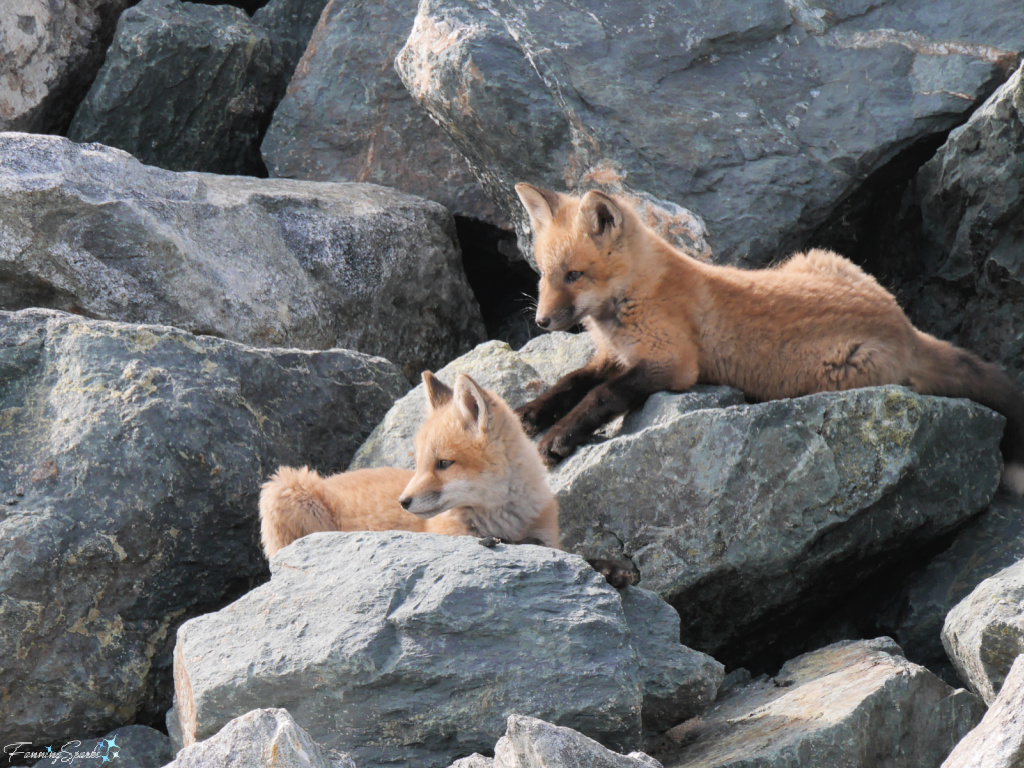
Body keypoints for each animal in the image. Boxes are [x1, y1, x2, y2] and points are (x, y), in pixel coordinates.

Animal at [259, 371, 633, 585]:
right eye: (420, 463)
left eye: (443, 463)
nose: (403, 502)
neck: (503, 520)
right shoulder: (456, 540)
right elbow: (550, 553)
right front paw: (605, 567)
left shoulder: (545, 535)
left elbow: (561, 552)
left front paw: (611, 567)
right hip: (283, 490)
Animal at [512, 182, 1024, 494]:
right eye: (543, 274)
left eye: (574, 275)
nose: (541, 321)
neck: (631, 300)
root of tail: (903, 323)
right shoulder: (613, 354)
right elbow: (571, 381)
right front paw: (530, 412)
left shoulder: (673, 362)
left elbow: (601, 394)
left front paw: (559, 435)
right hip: (812, 258)